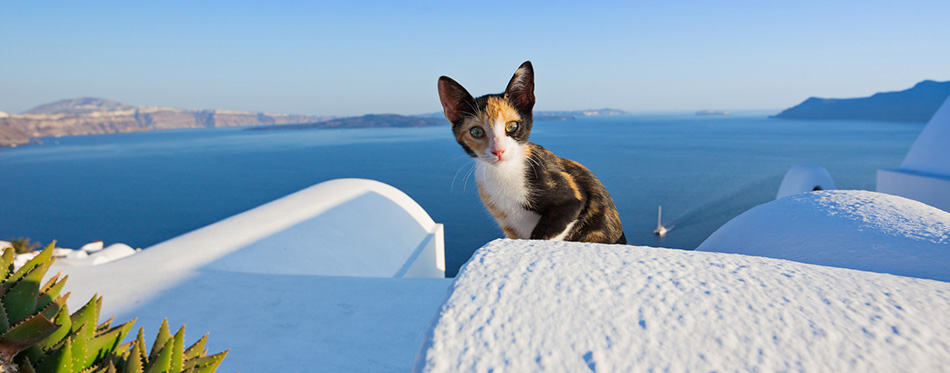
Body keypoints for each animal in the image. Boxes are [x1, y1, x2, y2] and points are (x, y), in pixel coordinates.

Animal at [436, 60, 624, 244]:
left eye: (512, 126)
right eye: (476, 132)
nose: (499, 150)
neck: (504, 173)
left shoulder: (571, 198)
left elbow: (544, 234)